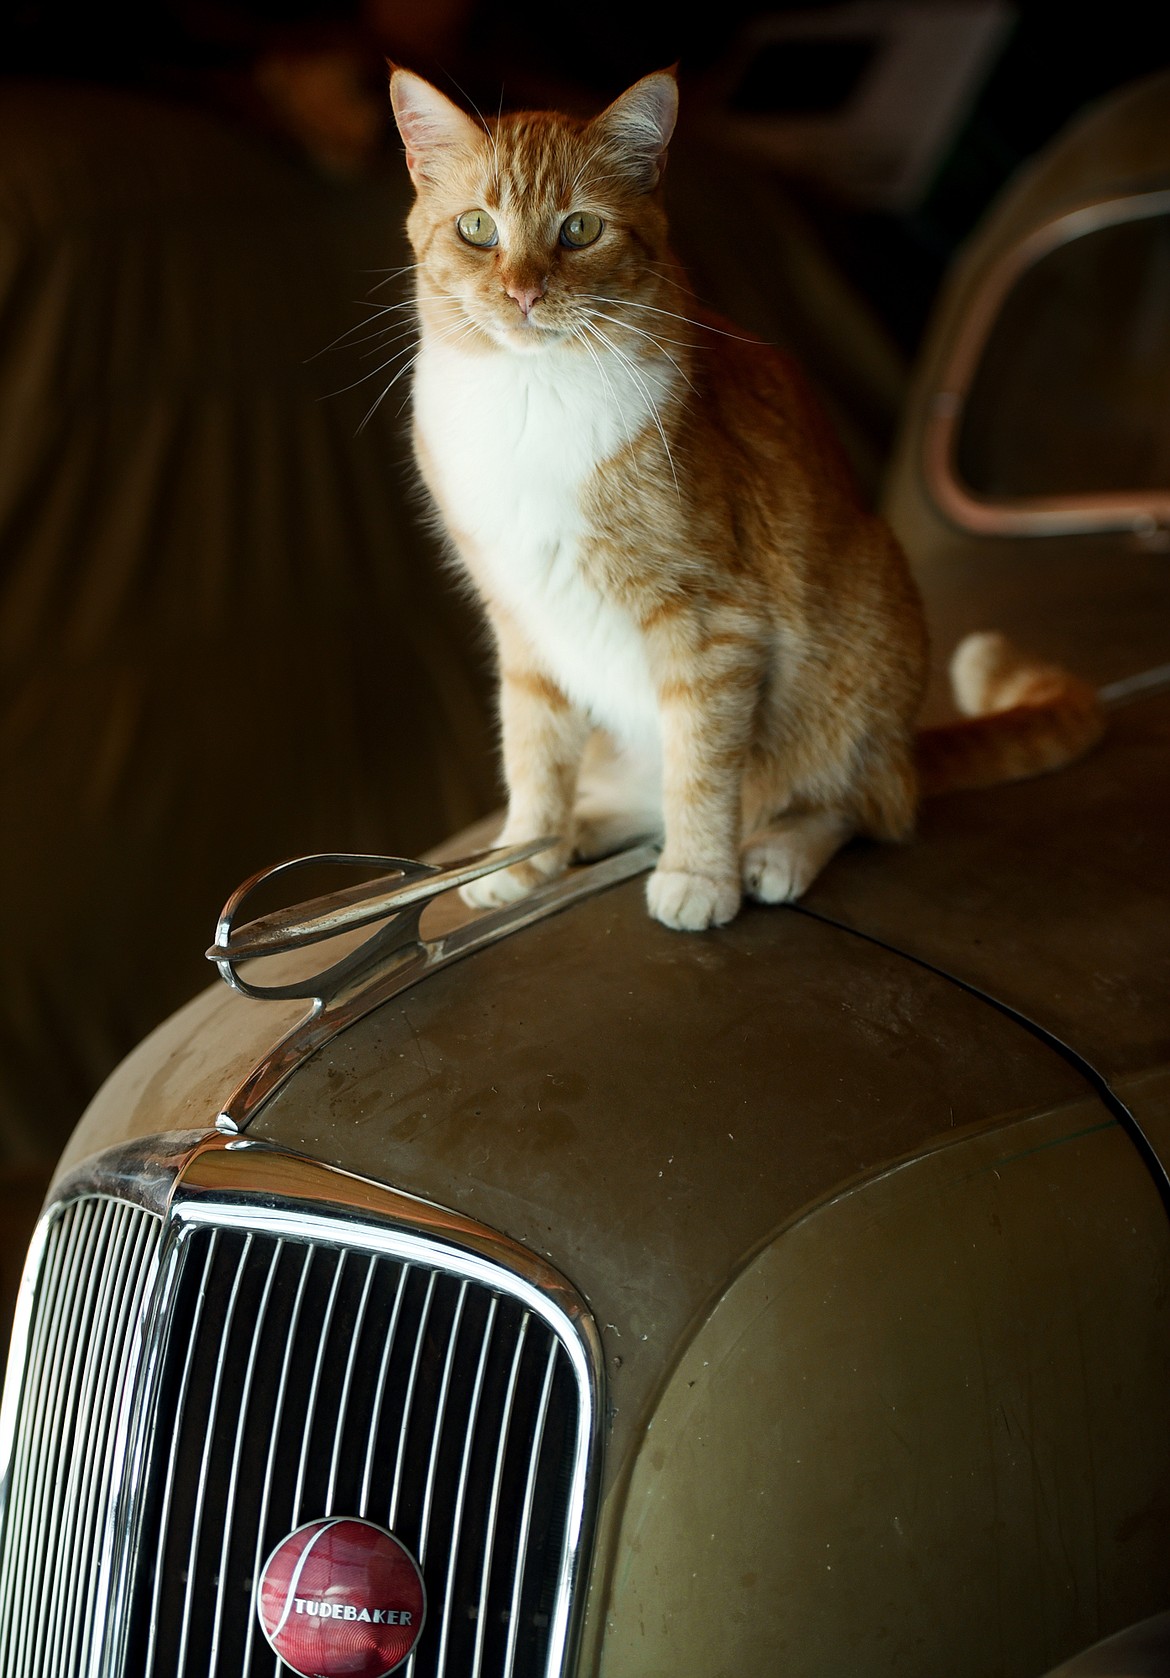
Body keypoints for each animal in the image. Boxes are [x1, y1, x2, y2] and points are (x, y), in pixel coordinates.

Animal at [387, 65, 1101, 932]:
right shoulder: (524, 625)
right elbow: (533, 752)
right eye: (478, 229)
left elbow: (701, 764)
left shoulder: (710, 624)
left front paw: (699, 874)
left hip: (860, 655)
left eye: (580, 230)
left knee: (856, 805)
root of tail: (907, 748)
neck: (531, 396)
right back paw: (590, 826)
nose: (524, 293)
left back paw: (776, 849)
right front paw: (526, 852)